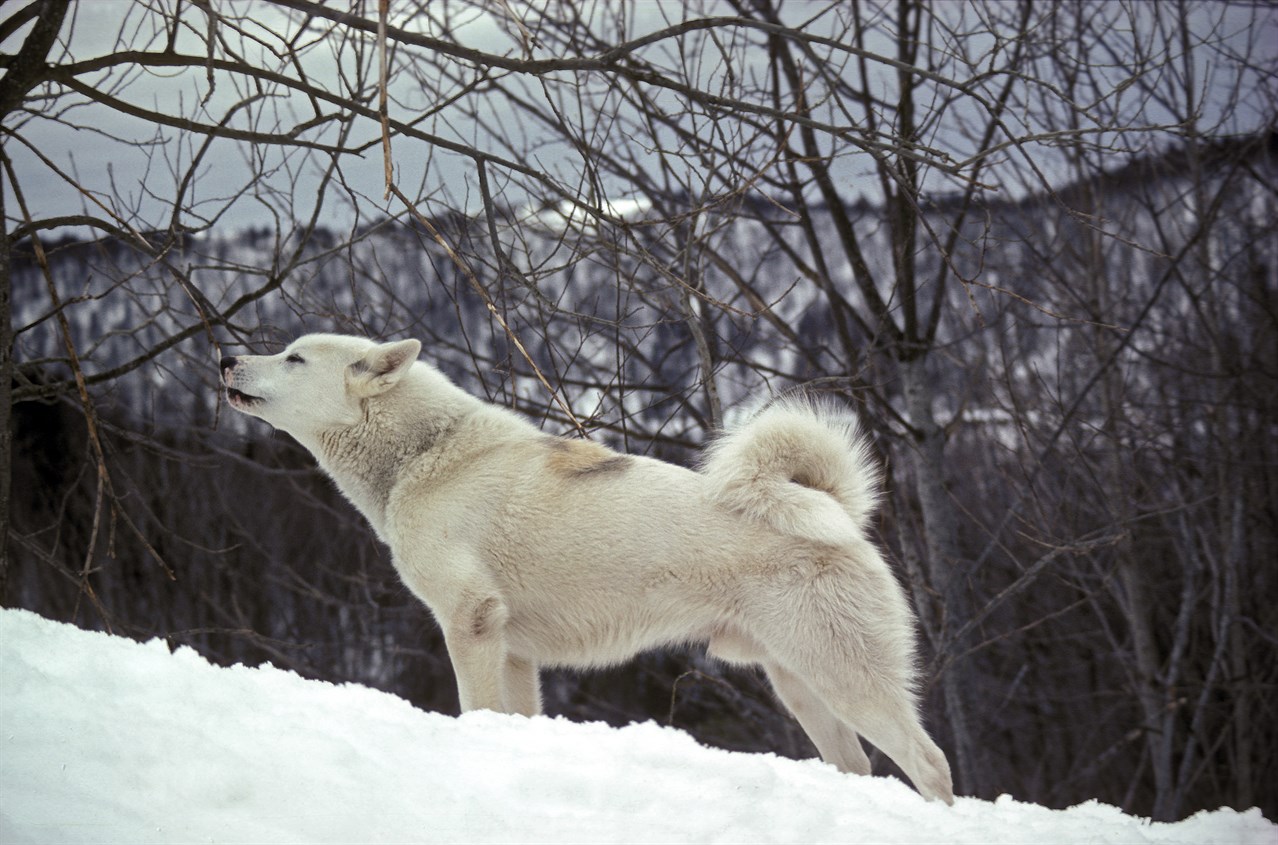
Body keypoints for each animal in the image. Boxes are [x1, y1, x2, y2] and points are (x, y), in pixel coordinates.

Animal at [219, 332, 955, 802]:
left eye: (294, 356)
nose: (225, 357)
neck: (423, 456)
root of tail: (838, 513)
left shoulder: (470, 623)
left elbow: (474, 709)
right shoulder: (514, 652)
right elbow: (515, 718)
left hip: (845, 680)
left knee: (932, 764)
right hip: (800, 686)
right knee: (861, 767)